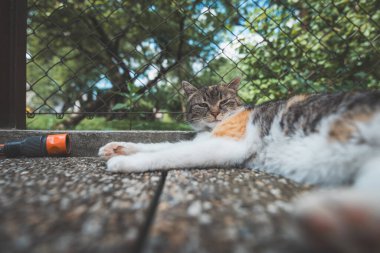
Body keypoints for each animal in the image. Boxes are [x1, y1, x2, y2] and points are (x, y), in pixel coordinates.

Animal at [98, 78, 380, 252]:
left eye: (224, 102)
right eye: (202, 104)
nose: (214, 113)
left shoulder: (226, 145)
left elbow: (172, 153)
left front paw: (124, 161)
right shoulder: (205, 139)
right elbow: (164, 145)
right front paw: (118, 147)